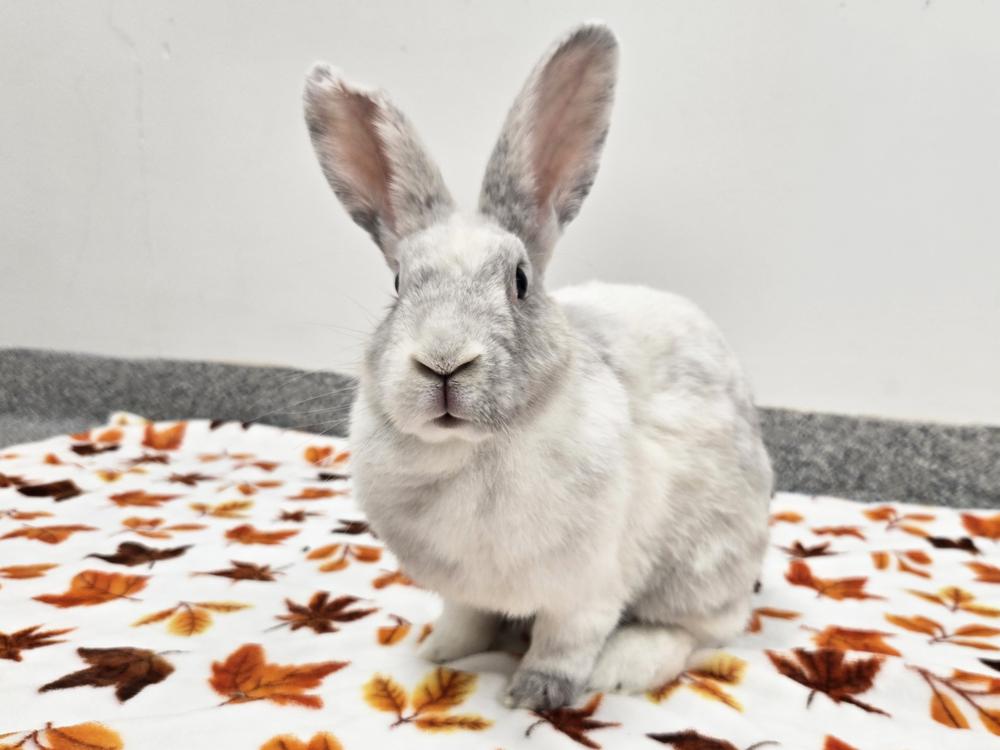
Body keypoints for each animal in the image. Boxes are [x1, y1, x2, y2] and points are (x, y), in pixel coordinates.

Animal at [302, 22, 772, 711]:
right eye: (398, 284)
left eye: (520, 282)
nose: (443, 362)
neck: (472, 451)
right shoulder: (462, 588)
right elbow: (465, 617)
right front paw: (438, 651)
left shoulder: (588, 589)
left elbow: (564, 642)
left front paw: (533, 694)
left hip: (704, 562)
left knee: (698, 630)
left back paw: (625, 666)